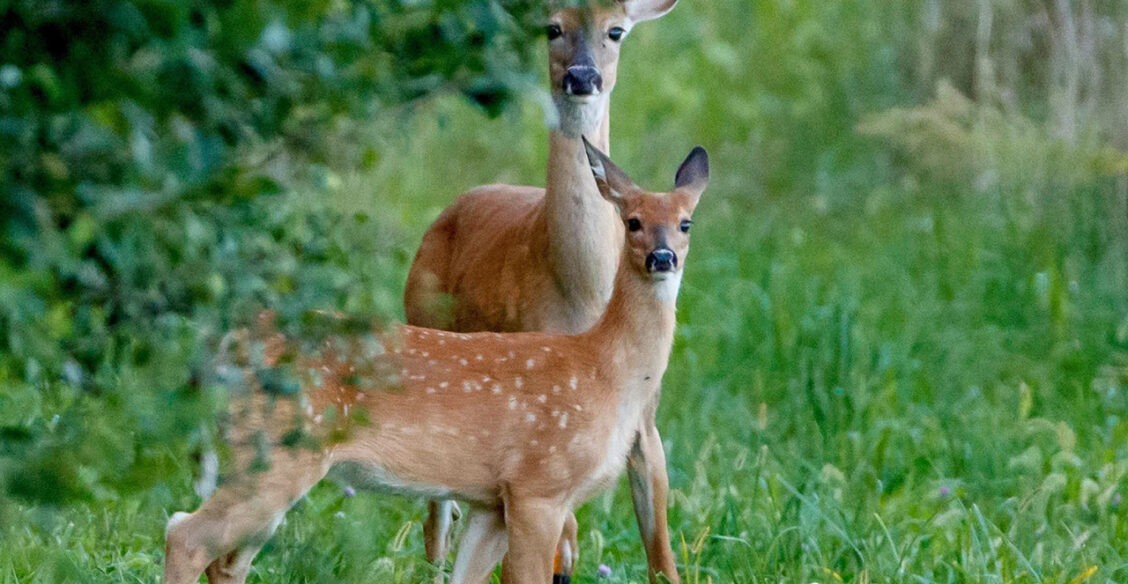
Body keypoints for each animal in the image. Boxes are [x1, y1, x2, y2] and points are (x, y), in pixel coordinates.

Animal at [161, 142, 703, 584]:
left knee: (223, 559)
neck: (604, 372)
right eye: (632, 221)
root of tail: (229, 343)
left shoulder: (492, 501)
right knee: (183, 534)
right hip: (278, 455)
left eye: (686, 223)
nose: (662, 257)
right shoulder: (538, 485)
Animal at [403, 0, 676, 581]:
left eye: (616, 31)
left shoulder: (644, 417)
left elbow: (659, 543)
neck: (585, 294)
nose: (582, 76)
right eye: (553, 27)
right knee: (436, 522)